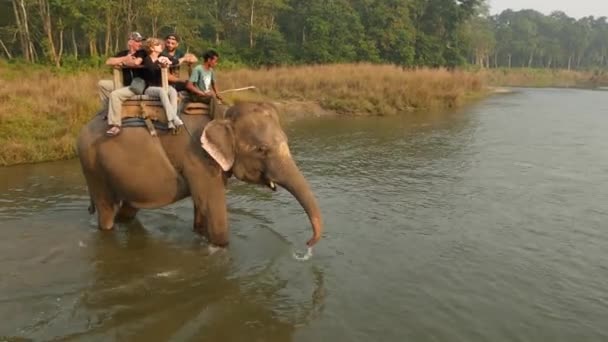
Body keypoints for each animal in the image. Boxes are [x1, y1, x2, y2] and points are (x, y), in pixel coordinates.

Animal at [76, 100, 324, 247]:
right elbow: (214, 213)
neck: (222, 114)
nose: (308, 243)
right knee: (106, 211)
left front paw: (200, 234)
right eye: (261, 150)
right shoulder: (198, 159)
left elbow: (201, 209)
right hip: (92, 166)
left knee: (128, 209)